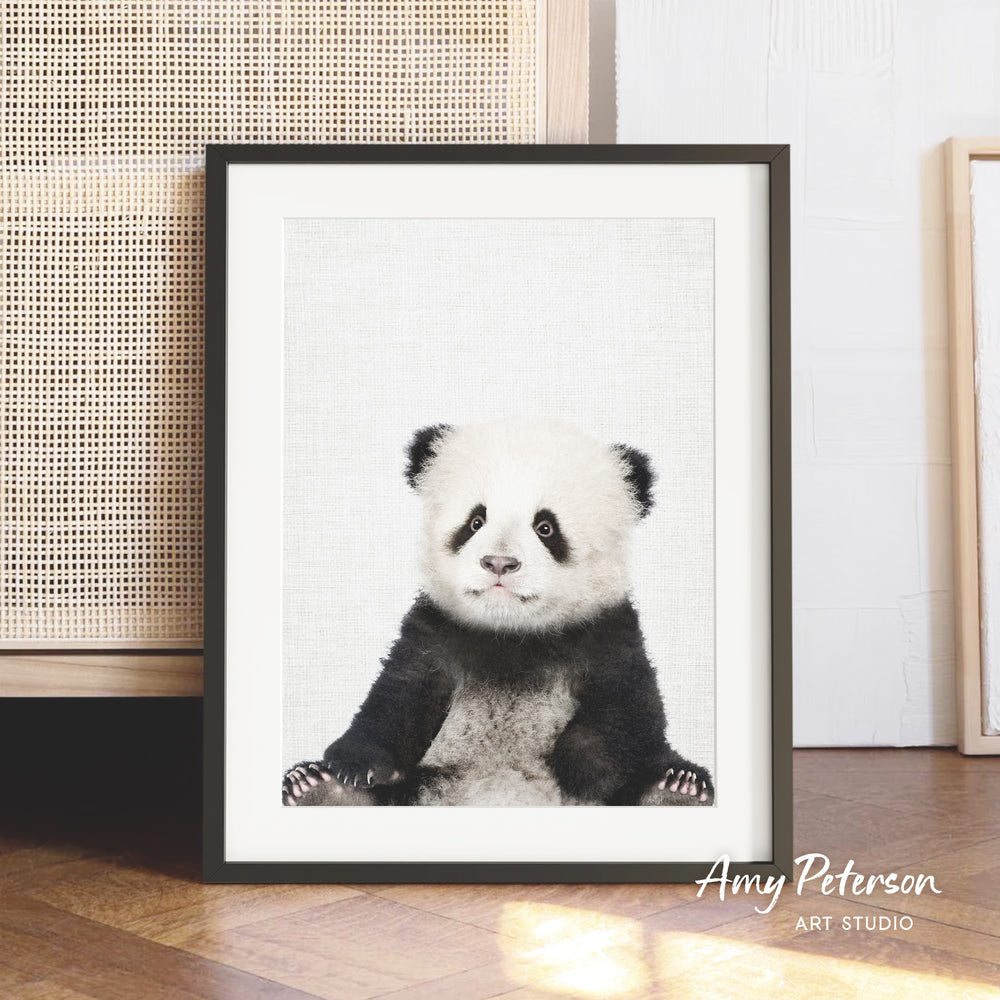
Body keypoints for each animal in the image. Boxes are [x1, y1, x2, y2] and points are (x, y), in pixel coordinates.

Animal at [282, 417, 714, 808]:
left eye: (545, 527)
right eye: (475, 521)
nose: (499, 563)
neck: (510, 634)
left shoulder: (606, 632)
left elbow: (629, 707)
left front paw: (588, 768)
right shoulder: (436, 633)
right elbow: (398, 696)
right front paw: (355, 766)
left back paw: (676, 789)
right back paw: (320, 788)